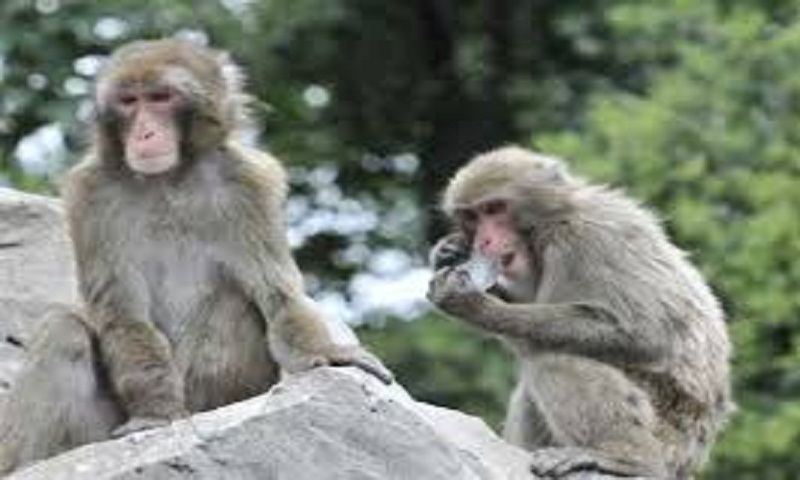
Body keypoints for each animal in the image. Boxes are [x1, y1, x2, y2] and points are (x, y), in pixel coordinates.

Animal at [0, 38, 391, 474]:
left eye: (160, 98)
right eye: (129, 102)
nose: (145, 132)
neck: (169, 179)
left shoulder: (250, 184)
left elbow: (277, 292)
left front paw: (324, 353)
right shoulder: (91, 195)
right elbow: (122, 311)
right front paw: (155, 413)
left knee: (236, 303)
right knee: (62, 331)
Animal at [427, 146, 731, 479]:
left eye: (495, 208)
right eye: (472, 216)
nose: (484, 240)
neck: (554, 223)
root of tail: (693, 459)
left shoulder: (591, 238)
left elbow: (646, 335)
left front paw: (475, 305)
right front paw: (448, 252)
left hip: (669, 435)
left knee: (551, 357)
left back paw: (627, 456)